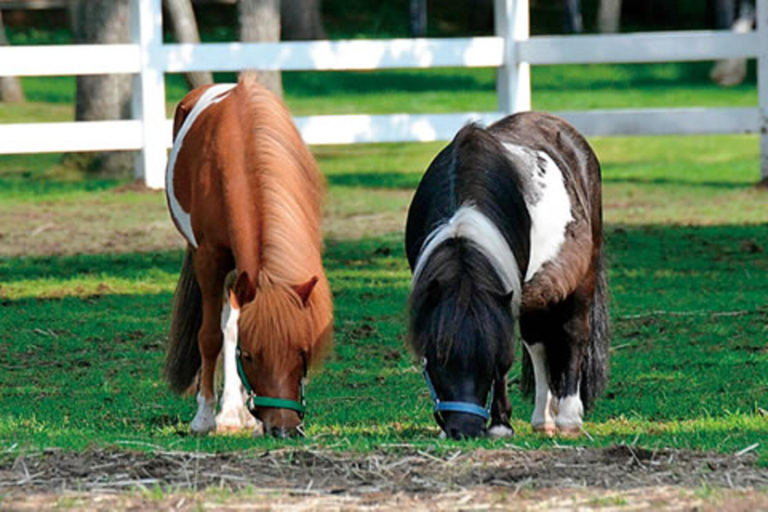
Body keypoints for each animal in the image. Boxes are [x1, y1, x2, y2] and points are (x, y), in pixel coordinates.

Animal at [164, 78, 333, 438]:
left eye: (302, 352)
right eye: (250, 356)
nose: (283, 429)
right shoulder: (210, 259)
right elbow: (212, 336)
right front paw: (206, 417)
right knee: (224, 326)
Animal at [405, 112, 609, 440]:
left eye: (487, 360)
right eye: (436, 358)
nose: (464, 430)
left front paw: (500, 425)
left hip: (583, 278)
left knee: (574, 335)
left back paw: (567, 418)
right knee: (538, 343)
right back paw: (543, 419)